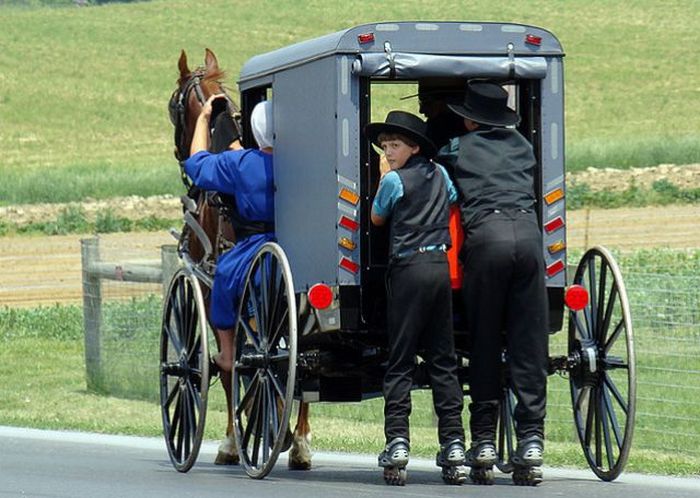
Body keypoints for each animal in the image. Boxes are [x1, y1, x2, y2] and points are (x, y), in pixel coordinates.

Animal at [167, 48, 312, 468]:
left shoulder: (210, 286)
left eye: (172, 105)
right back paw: (298, 441)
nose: (181, 155)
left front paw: (233, 442)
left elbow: (228, 364)